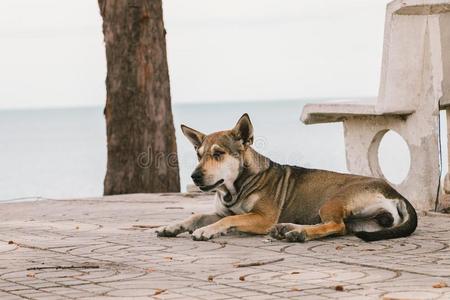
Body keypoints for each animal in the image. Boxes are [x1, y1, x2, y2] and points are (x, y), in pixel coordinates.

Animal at [156, 113, 416, 243]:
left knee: (336, 225)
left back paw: (298, 233)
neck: (236, 187)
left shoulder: (262, 218)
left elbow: (229, 219)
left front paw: (207, 231)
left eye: (218, 154)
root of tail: (395, 193)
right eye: (199, 155)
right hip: (363, 222)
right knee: (338, 228)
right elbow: (197, 216)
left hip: (332, 201)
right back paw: (289, 228)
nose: (195, 176)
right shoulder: (221, 211)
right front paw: (172, 226)